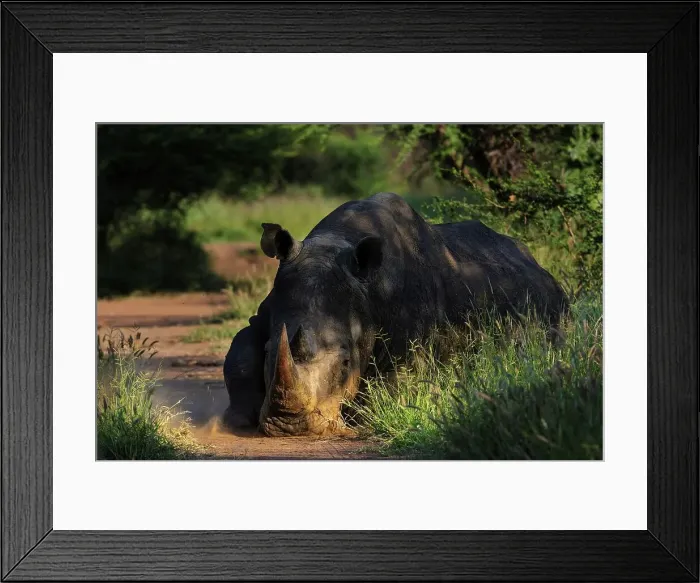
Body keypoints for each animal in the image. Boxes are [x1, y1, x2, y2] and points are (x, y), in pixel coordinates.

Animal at [223, 192, 568, 436]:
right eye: (269, 351)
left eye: (346, 363)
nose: (290, 427)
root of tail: (536, 262)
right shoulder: (268, 310)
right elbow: (240, 355)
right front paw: (237, 419)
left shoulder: (415, 337)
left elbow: (398, 379)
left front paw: (361, 419)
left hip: (554, 304)